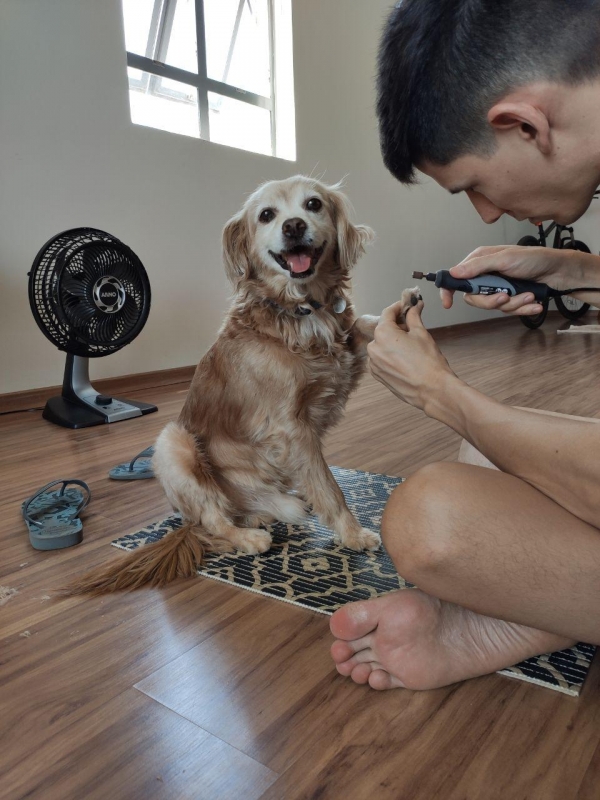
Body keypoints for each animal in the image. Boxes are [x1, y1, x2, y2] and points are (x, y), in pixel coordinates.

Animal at [65, 180, 420, 592]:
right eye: (266, 215)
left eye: (313, 204)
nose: (294, 226)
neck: (302, 311)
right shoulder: (293, 427)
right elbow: (329, 487)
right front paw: (353, 534)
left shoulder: (343, 360)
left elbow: (363, 323)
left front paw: (403, 307)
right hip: (173, 442)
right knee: (212, 520)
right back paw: (248, 537)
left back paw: (256, 516)